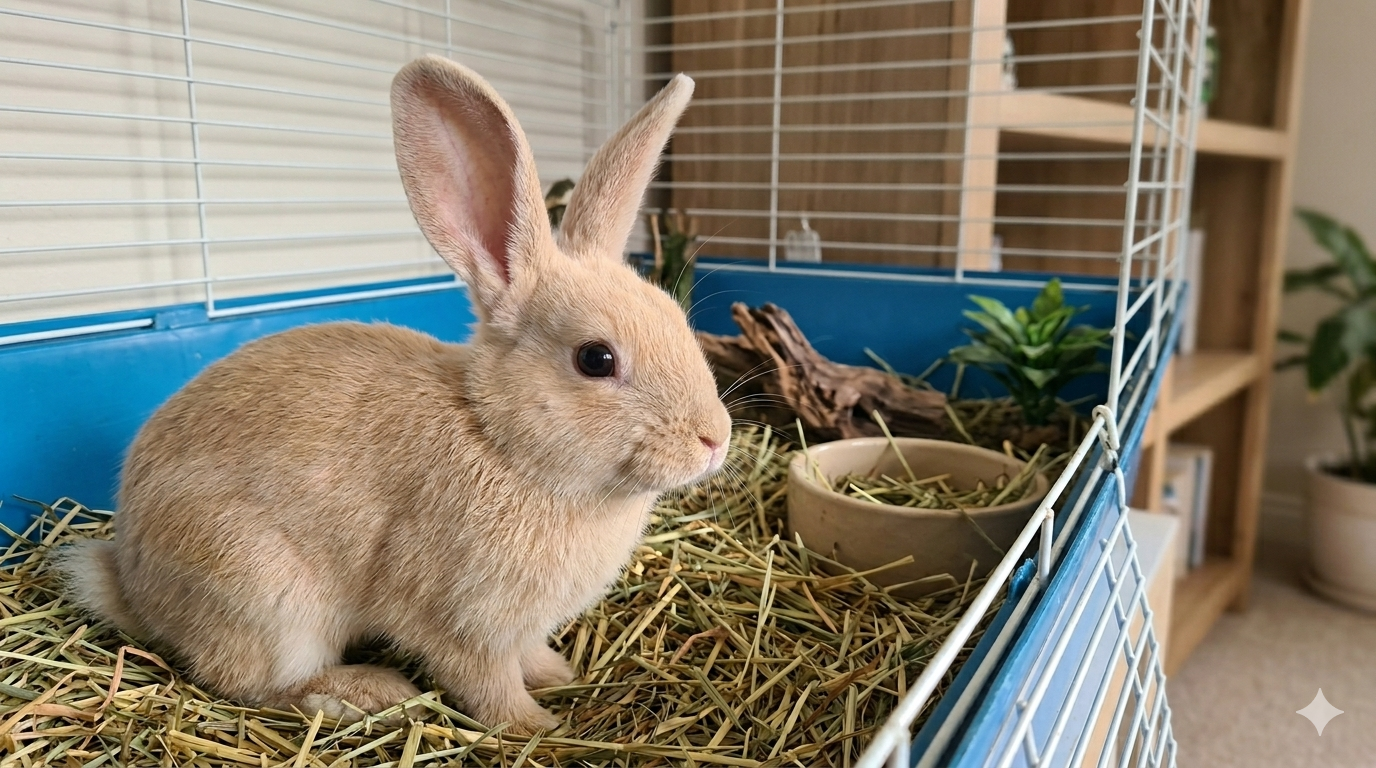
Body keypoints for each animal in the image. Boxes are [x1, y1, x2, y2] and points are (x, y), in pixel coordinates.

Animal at [54, 54, 731, 734]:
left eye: (678, 317)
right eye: (596, 359)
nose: (716, 439)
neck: (501, 440)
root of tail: (134, 588)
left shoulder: (516, 627)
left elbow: (528, 654)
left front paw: (558, 675)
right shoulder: (460, 620)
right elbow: (485, 684)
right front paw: (536, 727)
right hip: (266, 597)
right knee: (249, 683)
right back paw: (367, 692)